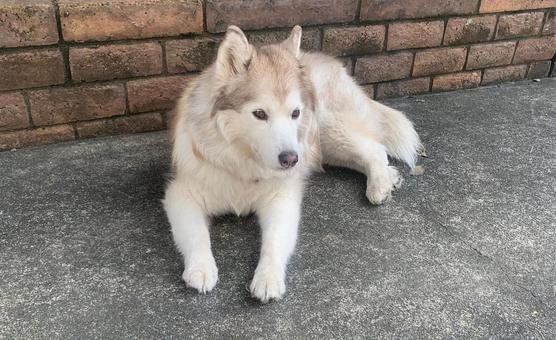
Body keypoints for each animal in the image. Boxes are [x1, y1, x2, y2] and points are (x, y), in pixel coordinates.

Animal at [163, 25, 420, 302]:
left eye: (295, 113)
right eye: (260, 114)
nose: (290, 159)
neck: (243, 160)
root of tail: (321, 59)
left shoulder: (281, 197)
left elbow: (274, 240)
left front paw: (268, 278)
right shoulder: (181, 194)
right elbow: (197, 234)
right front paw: (201, 268)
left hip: (327, 130)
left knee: (375, 149)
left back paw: (379, 185)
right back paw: (389, 178)